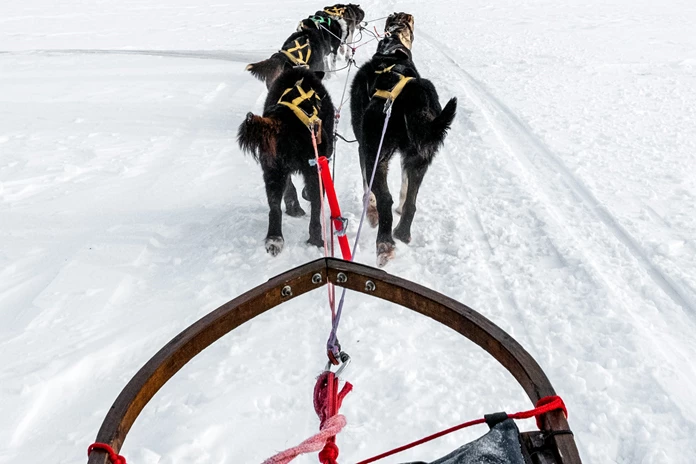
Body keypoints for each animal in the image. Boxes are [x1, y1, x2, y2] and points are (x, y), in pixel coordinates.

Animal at [237, 67, 334, 256]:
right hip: (313, 169)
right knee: (315, 208)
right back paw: (316, 240)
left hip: (273, 170)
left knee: (274, 208)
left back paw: (274, 239)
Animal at [348, 13, 456, 264]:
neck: (392, 47)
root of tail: (411, 95)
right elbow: (405, 189)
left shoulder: (363, 150)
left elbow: (369, 191)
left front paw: (370, 212)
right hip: (420, 157)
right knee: (411, 204)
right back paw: (402, 232)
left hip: (375, 154)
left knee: (385, 199)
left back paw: (385, 242)